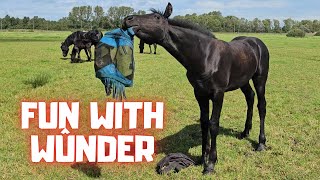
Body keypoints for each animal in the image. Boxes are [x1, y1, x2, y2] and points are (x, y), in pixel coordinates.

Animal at [122, 2, 270, 174]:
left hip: (260, 79)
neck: (205, 56)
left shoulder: (218, 94)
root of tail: (257, 42)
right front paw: (202, 159)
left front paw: (211, 164)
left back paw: (261, 143)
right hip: (243, 81)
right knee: (250, 97)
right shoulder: (200, 93)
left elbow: (213, 124)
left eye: (156, 17)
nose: (128, 19)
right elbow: (204, 123)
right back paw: (245, 132)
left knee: (261, 105)